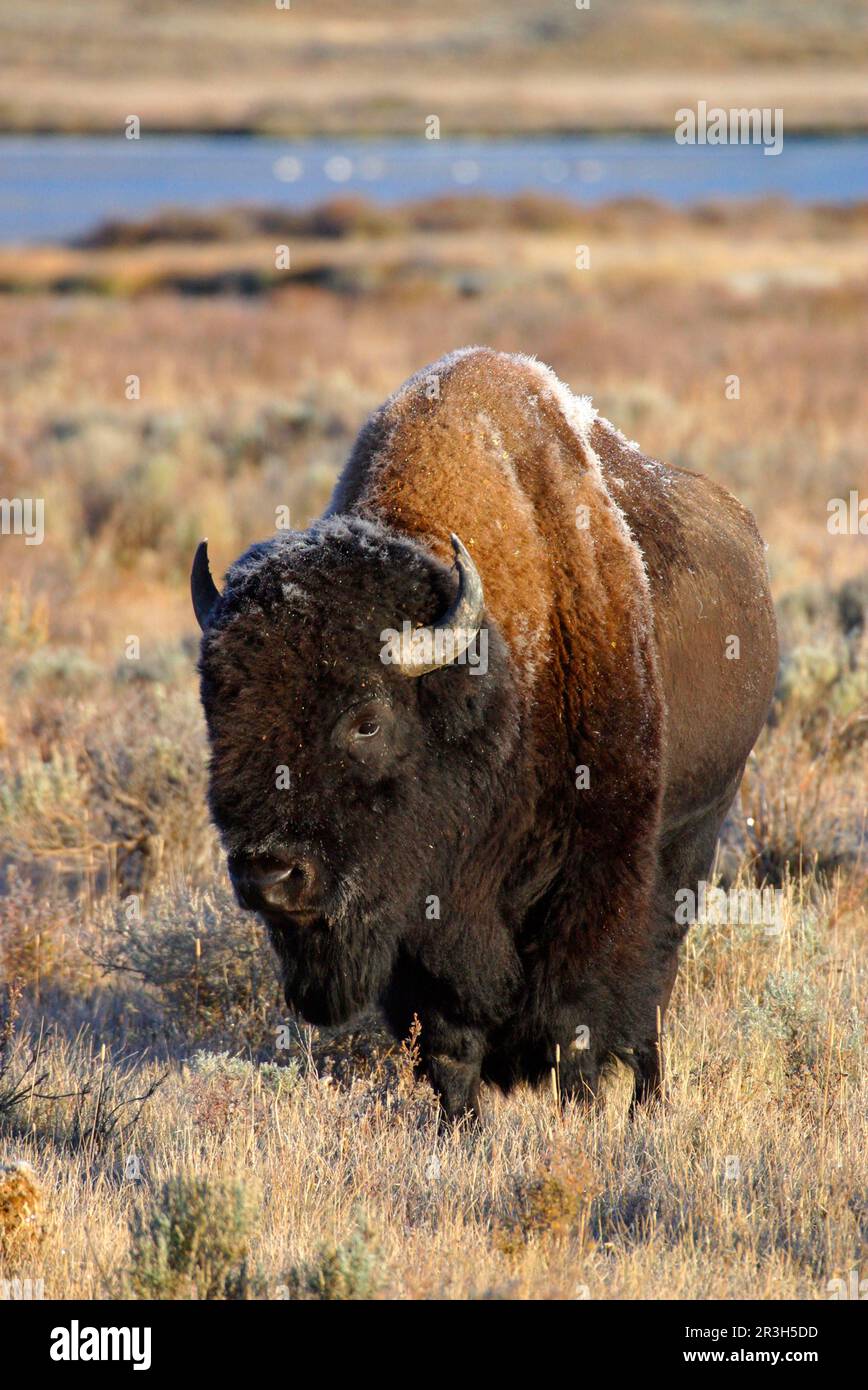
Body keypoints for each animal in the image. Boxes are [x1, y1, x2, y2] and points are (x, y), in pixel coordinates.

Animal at [193, 347, 778, 1117]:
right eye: (219, 709)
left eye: (368, 721)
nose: (270, 875)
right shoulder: (422, 922)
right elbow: (449, 1044)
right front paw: (460, 1129)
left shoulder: (592, 880)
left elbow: (576, 1024)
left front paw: (579, 1114)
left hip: (697, 828)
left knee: (655, 980)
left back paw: (647, 1102)